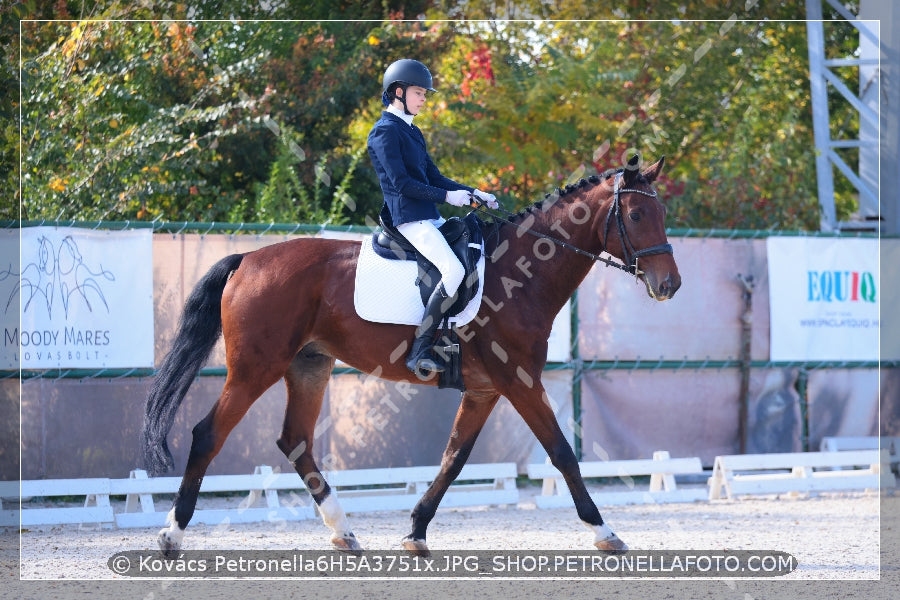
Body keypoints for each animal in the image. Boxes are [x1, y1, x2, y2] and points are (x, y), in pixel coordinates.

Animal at [141, 156, 680, 556]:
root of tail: (249, 259)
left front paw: (416, 531)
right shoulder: (520, 381)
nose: (669, 285)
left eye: (661, 216)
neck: (522, 272)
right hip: (256, 368)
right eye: (636, 216)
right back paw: (171, 534)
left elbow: (453, 460)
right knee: (208, 435)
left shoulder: (484, 390)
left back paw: (343, 532)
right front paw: (605, 532)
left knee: (295, 441)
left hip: (309, 366)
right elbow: (562, 452)